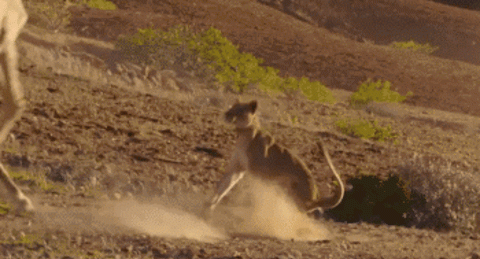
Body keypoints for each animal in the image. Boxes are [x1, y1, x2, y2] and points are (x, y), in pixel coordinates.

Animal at [208, 100, 344, 216]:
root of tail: (314, 199)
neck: (243, 134)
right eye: (231, 107)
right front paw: (209, 207)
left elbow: (248, 191)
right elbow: (223, 187)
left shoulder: (257, 172)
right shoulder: (237, 168)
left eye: (239, 110)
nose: (227, 114)